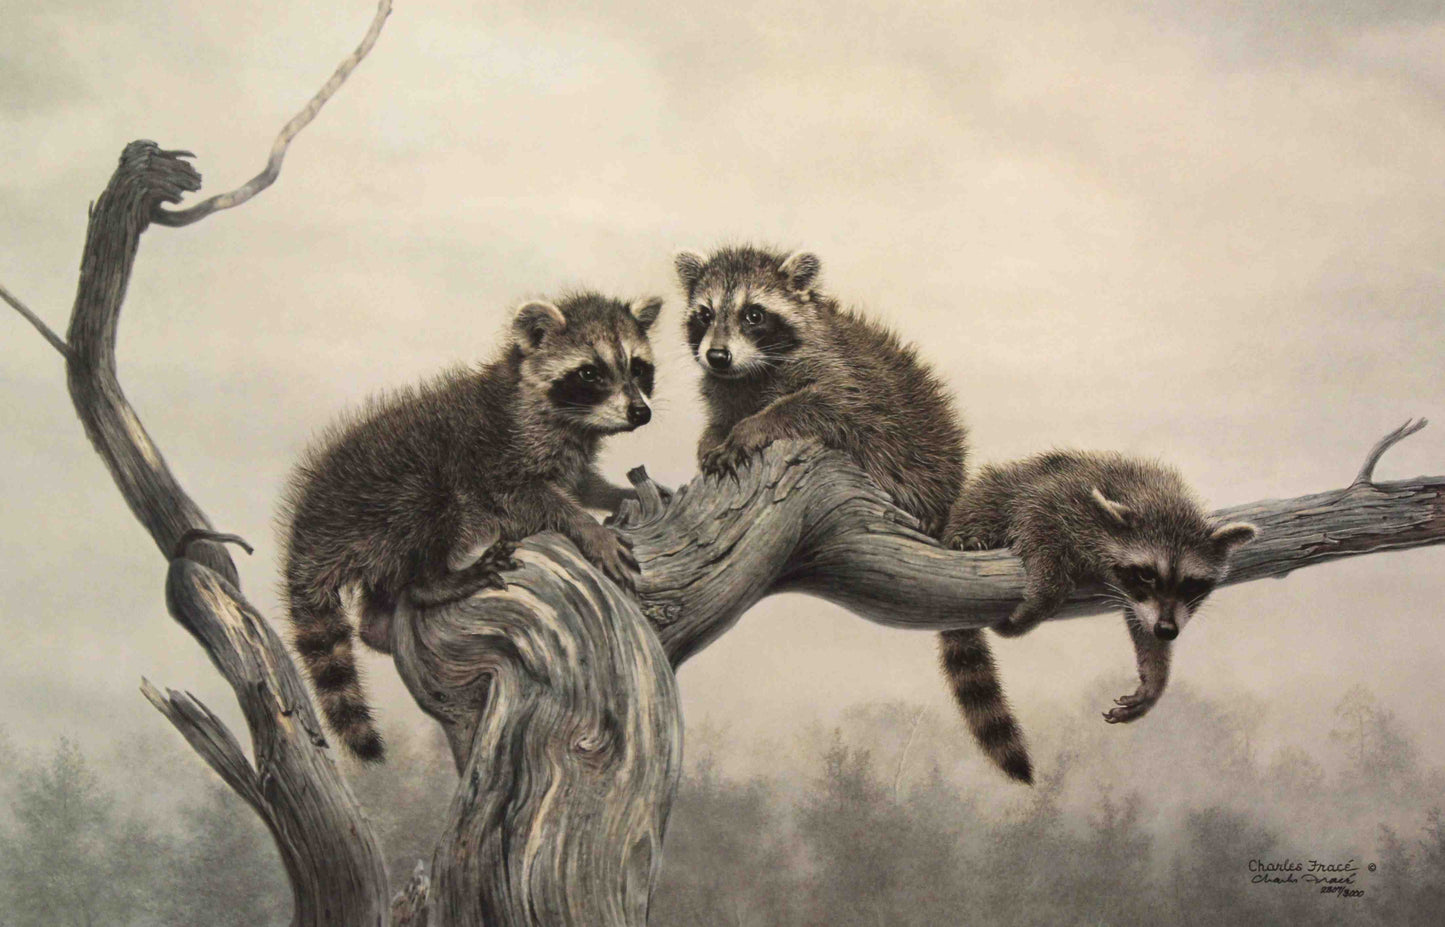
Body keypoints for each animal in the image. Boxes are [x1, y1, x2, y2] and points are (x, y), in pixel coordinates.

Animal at [279, 291, 662, 761]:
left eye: (638, 367)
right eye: (590, 372)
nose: (640, 411)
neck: (563, 418)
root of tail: (309, 526)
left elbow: (581, 484)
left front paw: (614, 493)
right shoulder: (499, 458)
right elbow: (539, 500)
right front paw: (589, 528)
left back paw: (377, 622)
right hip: (388, 500)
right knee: (430, 511)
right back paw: (438, 581)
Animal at [674, 244, 1032, 783]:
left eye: (754, 314)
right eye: (704, 313)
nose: (716, 355)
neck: (752, 372)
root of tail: (950, 499)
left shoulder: (844, 380)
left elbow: (819, 406)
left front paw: (752, 428)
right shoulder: (724, 388)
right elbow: (720, 417)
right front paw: (711, 438)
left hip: (914, 459)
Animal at [943, 450, 1258, 723]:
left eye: (1191, 584)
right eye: (1147, 575)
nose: (1167, 630)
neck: (1158, 499)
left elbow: (1142, 620)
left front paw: (1155, 671)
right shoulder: (1063, 499)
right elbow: (1036, 519)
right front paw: (1046, 593)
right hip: (993, 490)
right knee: (988, 501)